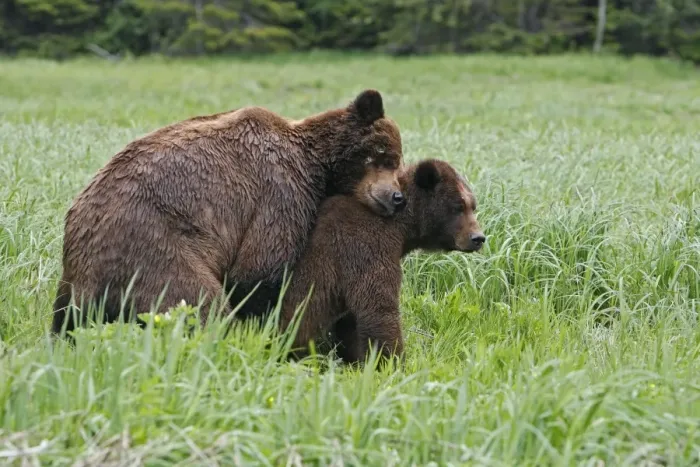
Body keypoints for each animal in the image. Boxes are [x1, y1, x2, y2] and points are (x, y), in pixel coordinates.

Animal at [51, 89, 406, 335]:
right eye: (383, 156)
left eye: (397, 161)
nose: (397, 197)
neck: (316, 165)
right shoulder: (280, 191)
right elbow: (259, 268)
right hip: (152, 248)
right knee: (197, 301)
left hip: (74, 282)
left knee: (63, 322)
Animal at [276, 158, 485, 366]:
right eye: (458, 206)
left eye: (473, 206)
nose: (478, 238)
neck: (402, 227)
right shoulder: (365, 245)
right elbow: (377, 308)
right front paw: (393, 361)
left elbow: (351, 321)